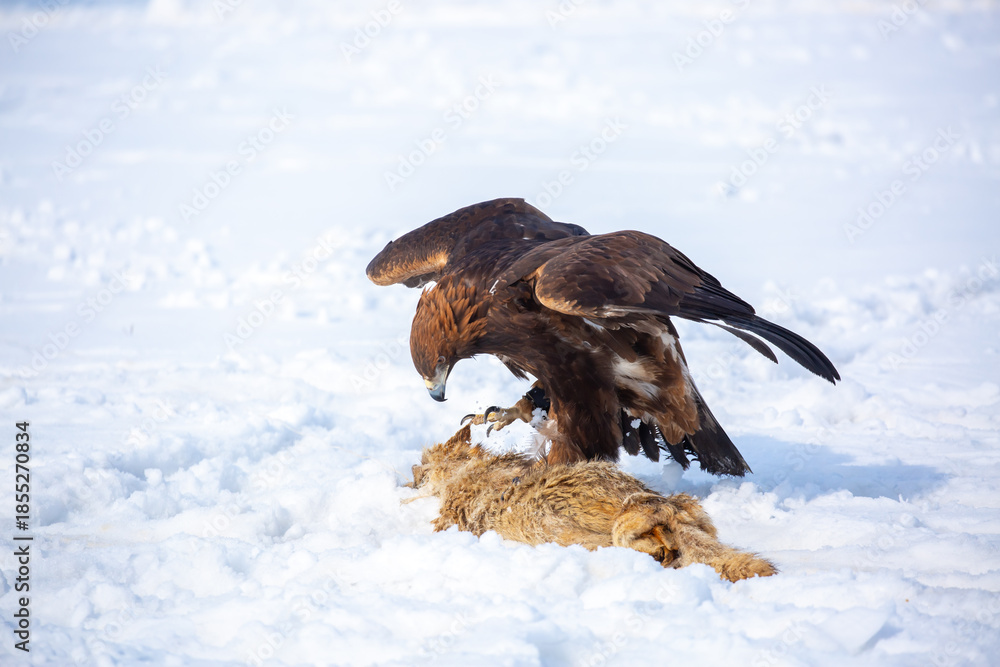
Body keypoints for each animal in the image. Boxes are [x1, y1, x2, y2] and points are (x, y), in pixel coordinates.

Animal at [407, 424, 776, 583]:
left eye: (421, 465)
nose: (409, 475)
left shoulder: (450, 515)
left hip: (594, 523)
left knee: (632, 535)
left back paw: (657, 546)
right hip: (676, 509)